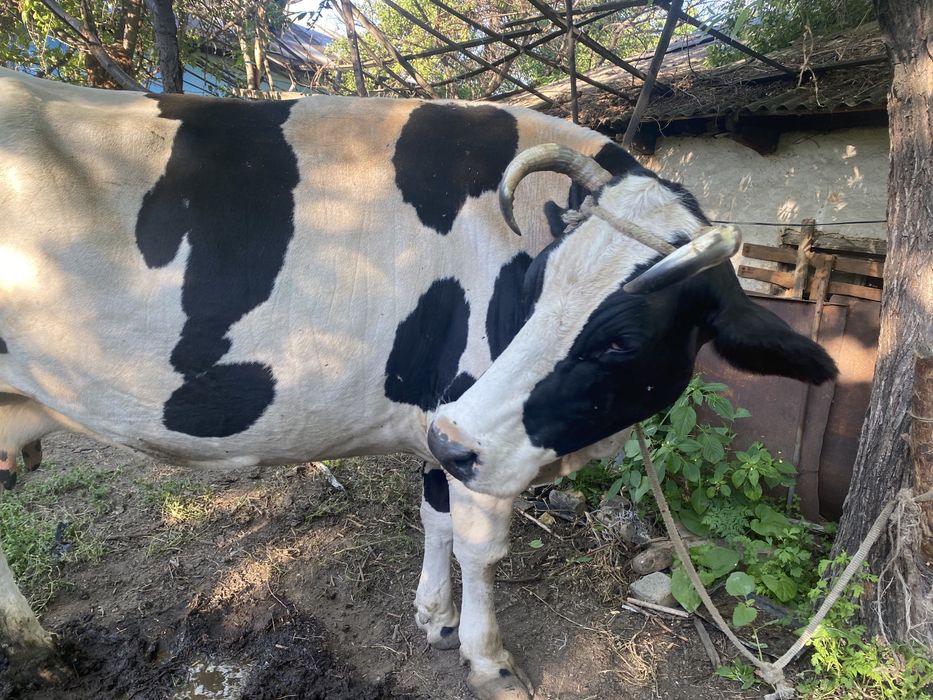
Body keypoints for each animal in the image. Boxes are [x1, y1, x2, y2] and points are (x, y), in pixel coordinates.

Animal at [0, 67, 836, 699]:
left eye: (621, 340)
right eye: (532, 286)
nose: (453, 439)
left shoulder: (444, 416)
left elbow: (433, 516)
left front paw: (433, 617)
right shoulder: (467, 418)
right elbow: (479, 546)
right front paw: (488, 661)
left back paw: (33, 646)